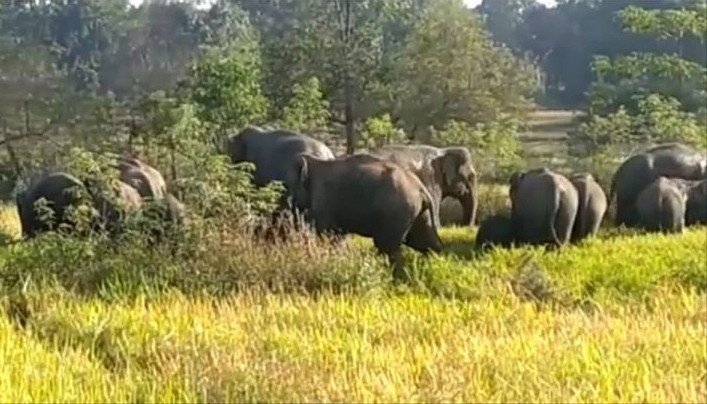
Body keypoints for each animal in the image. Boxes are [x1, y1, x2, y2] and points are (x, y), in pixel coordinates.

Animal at [289, 153, 443, 279]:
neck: (313, 162)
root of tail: (420, 187)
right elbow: (338, 237)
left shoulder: (324, 202)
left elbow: (327, 235)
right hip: (417, 212)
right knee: (423, 240)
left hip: (396, 210)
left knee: (387, 246)